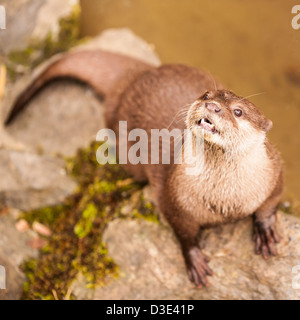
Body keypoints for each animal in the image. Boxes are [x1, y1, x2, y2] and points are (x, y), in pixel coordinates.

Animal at [5, 50, 284, 288]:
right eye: (207, 95)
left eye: (238, 111)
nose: (212, 106)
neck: (225, 202)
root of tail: (134, 77)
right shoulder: (174, 199)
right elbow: (183, 232)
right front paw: (194, 260)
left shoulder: (273, 172)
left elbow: (271, 202)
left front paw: (266, 232)